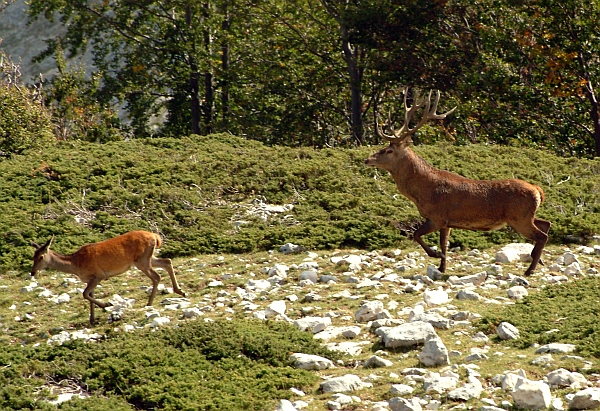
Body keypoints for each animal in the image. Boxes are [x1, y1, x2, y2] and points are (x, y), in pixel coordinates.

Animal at [30, 232, 184, 326]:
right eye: (33, 256)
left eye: (41, 257)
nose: (32, 272)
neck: (77, 265)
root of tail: (155, 236)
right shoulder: (90, 279)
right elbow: (89, 296)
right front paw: (92, 319)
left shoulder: (98, 275)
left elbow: (85, 294)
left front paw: (107, 304)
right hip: (148, 257)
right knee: (167, 261)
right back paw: (180, 291)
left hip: (142, 260)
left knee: (156, 276)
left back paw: (149, 303)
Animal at [364, 89, 552, 276]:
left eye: (389, 150)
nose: (367, 159)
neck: (422, 191)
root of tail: (537, 190)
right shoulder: (446, 222)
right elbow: (444, 243)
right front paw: (442, 267)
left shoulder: (437, 216)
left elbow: (416, 235)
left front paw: (435, 255)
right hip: (525, 215)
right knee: (546, 223)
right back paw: (536, 259)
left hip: (519, 217)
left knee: (542, 235)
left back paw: (530, 270)